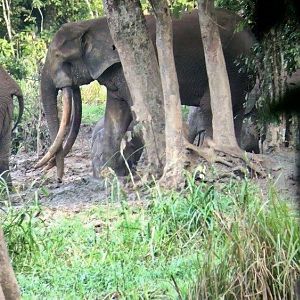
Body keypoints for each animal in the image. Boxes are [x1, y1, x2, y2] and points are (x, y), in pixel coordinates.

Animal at [35, 8, 255, 179]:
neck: (89, 25)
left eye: (58, 56)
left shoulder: (127, 68)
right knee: (237, 111)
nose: (58, 179)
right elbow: (116, 116)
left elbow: (137, 112)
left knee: (209, 107)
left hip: (233, 65)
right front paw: (112, 176)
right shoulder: (114, 72)